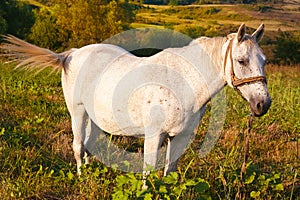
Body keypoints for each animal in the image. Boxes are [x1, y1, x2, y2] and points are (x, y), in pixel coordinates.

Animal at [0, 23, 272, 177]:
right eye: (241, 61)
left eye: (264, 60)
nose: (262, 104)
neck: (183, 82)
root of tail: (71, 55)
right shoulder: (154, 135)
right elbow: (148, 171)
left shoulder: (179, 137)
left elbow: (168, 171)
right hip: (77, 112)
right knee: (78, 145)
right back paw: (81, 178)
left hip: (95, 117)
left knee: (88, 145)